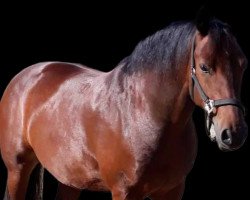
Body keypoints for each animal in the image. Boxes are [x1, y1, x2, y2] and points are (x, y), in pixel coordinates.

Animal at [0, 17, 247, 200]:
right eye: (204, 67)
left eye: (243, 64)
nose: (234, 133)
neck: (144, 114)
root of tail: (26, 75)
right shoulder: (124, 192)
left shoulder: (173, 190)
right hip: (17, 169)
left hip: (70, 178)